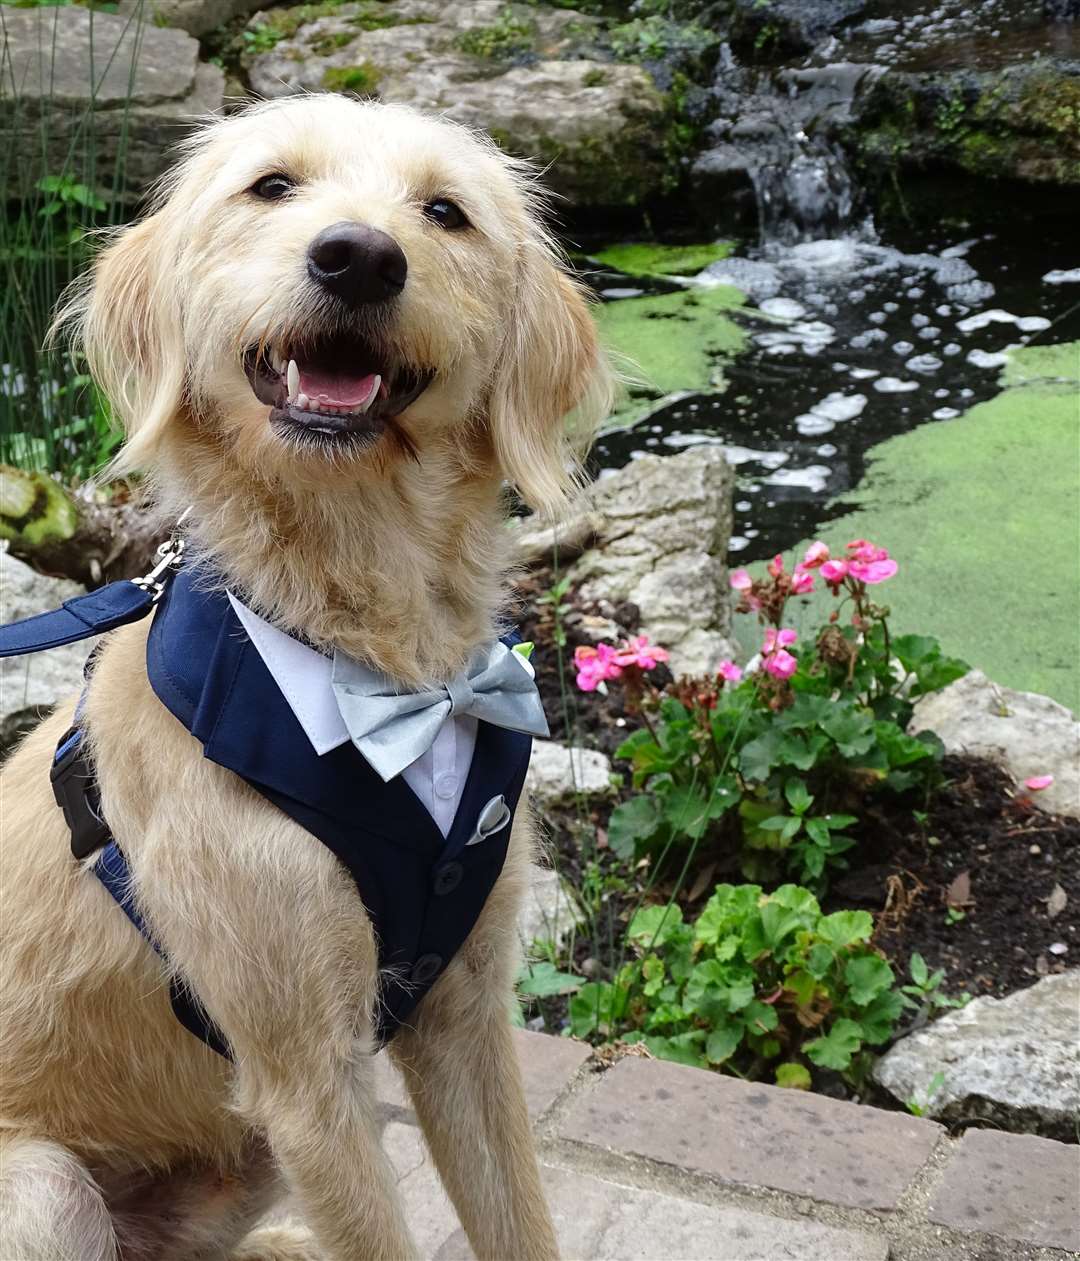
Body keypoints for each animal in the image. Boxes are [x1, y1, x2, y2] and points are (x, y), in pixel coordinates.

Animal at [0, 95, 610, 1261]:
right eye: (272, 186)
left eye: (445, 211)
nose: (359, 258)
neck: (374, 658)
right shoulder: (305, 1077)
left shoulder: (466, 1013)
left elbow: (518, 1216)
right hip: (52, 1183)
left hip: (236, 1164)